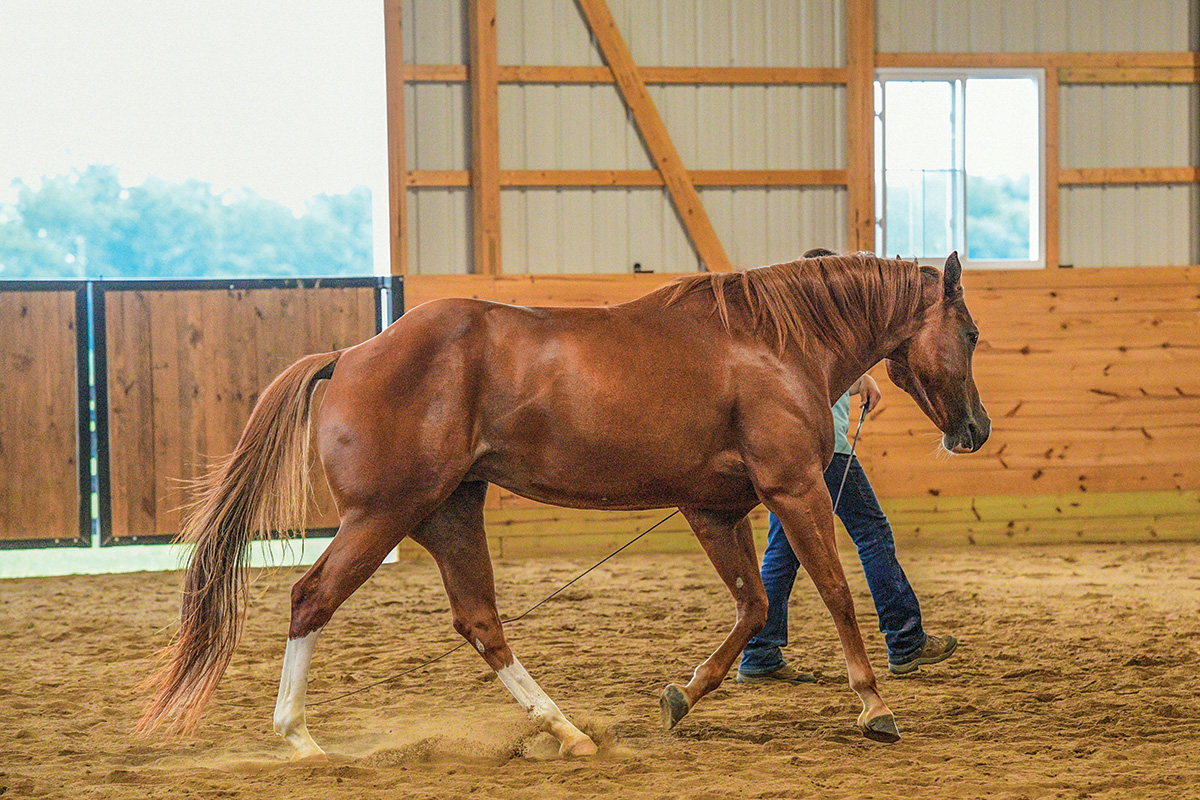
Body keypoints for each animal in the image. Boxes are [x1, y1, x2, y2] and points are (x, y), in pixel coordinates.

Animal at [140, 253, 988, 762]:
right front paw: (874, 706)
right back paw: (301, 739)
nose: (975, 430)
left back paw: (567, 730)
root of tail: (351, 354)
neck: (774, 346)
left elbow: (753, 606)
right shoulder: (795, 489)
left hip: (448, 513)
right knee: (311, 599)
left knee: (481, 622)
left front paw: (682, 697)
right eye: (973, 332)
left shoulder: (712, 510)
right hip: (383, 515)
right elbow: (837, 592)